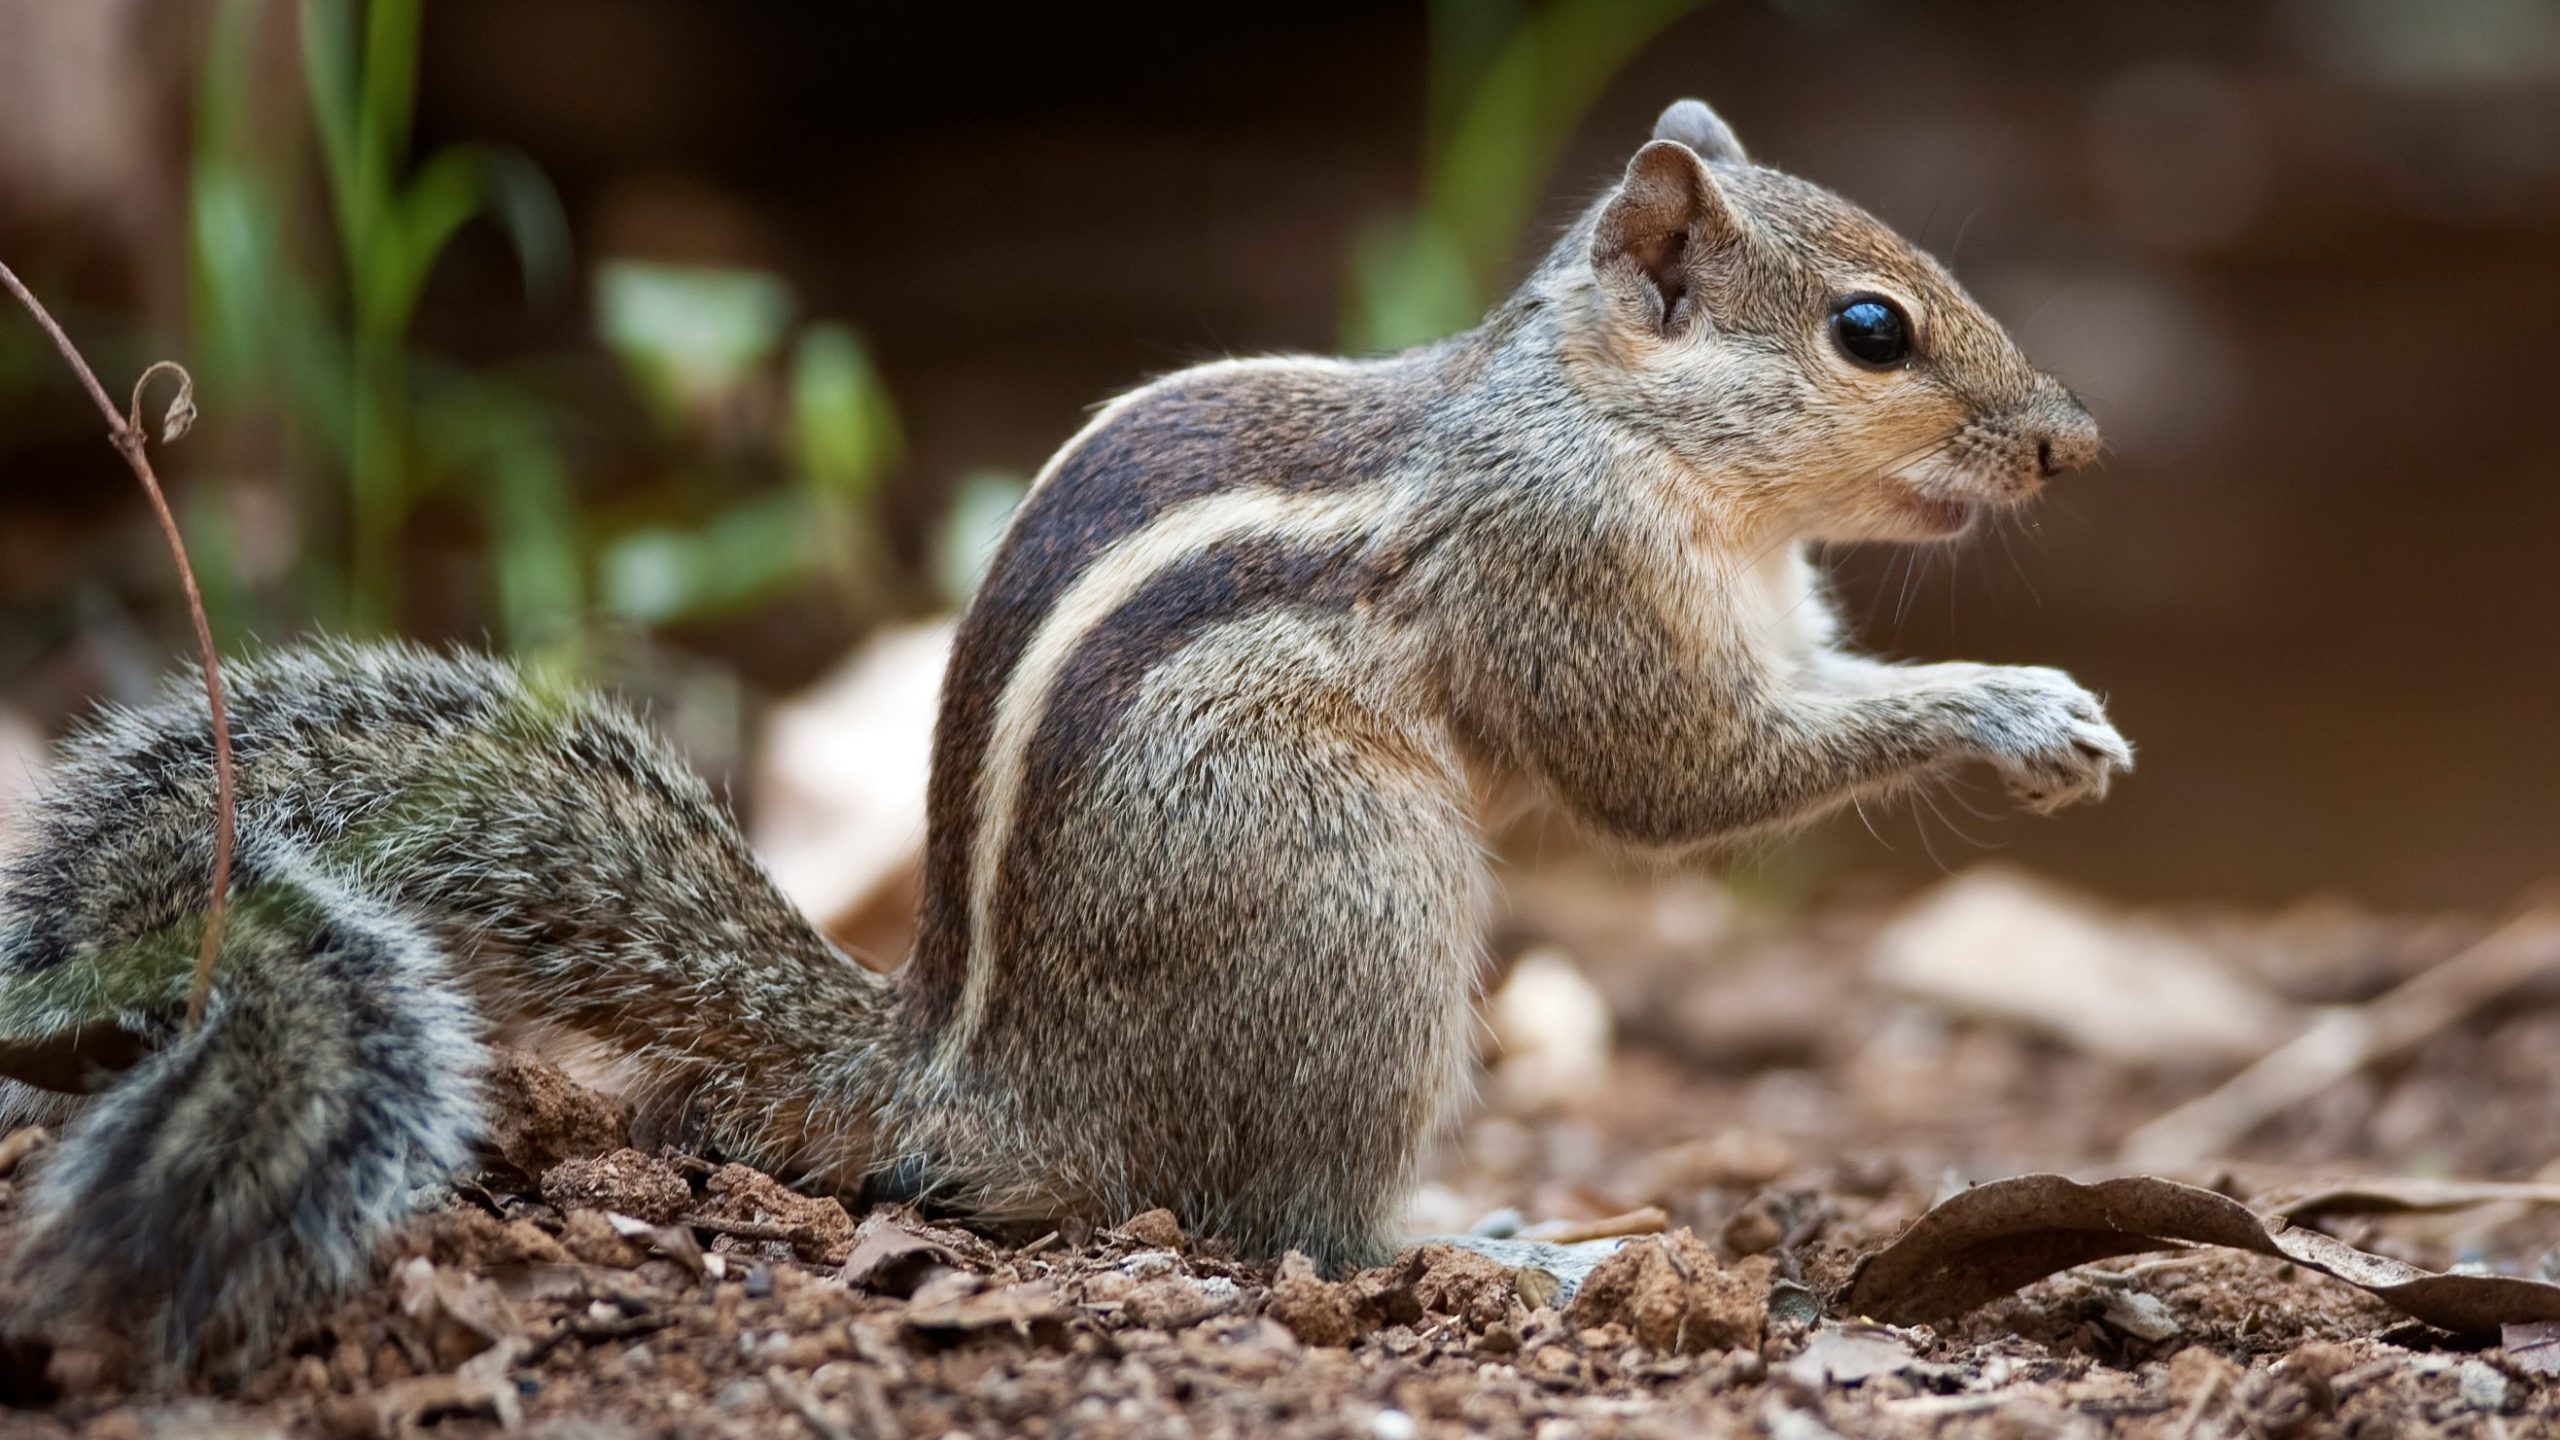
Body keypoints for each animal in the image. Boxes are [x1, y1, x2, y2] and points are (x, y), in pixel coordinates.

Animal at [0, 98, 2119, 1363]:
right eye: (1870, 331)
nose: (2075, 445)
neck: (1616, 422)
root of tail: (965, 1086)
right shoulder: (1570, 574)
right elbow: (1681, 780)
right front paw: (2016, 708)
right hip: (1361, 906)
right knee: (1290, 1227)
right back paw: (1509, 1246)